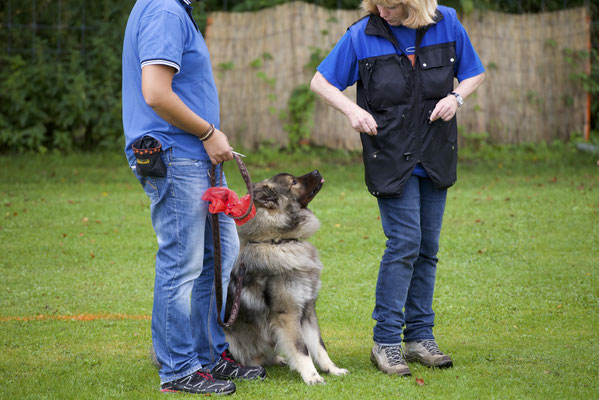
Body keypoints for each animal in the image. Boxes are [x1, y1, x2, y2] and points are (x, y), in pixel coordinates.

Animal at [224, 170, 346, 386]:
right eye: (294, 182)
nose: (317, 171)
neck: (280, 241)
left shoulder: (307, 310)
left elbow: (319, 345)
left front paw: (332, 369)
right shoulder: (288, 313)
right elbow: (301, 347)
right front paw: (312, 376)